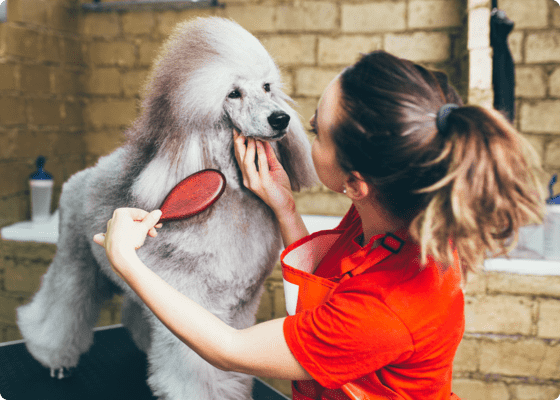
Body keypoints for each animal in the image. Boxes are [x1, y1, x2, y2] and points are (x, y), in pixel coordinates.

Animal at [15, 17, 318, 398]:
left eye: (267, 87)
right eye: (233, 93)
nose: (281, 119)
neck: (232, 199)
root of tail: (80, 176)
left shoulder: (240, 306)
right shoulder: (194, 300)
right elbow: (194, 371)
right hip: (75, 260)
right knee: (62, 306)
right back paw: (54, 358)